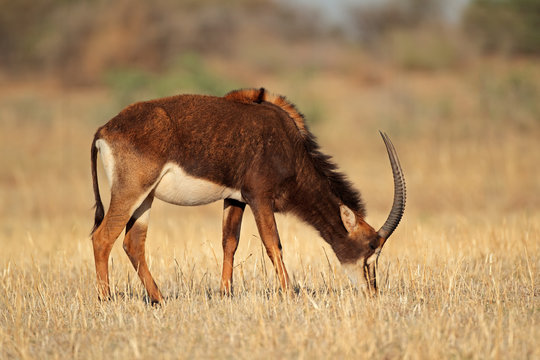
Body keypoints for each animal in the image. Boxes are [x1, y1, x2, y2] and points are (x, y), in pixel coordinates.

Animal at [90, 88, 404, 304]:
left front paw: (225, 293)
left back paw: (158, 299)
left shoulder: (235, 198)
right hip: (131, 191)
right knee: (102, 237)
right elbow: (273, 243)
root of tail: (104, 129)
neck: (289, 143)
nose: (372, 292)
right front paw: (289, 293)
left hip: (146, 198)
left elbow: (230, 242)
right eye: (371, 249)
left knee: (133, 243)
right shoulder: (259, 196)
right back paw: (106, 300)